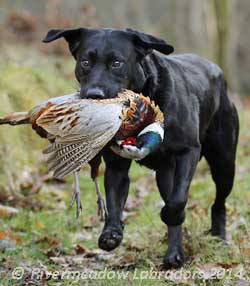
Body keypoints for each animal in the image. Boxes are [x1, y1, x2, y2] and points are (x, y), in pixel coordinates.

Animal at [43, 27, 240, 268]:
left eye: (117, 63)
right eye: (85, 62)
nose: (93, 95)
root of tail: (218, 72)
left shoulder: (188, 151)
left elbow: (178, 201)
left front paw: (170, 214)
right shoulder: (117, 165)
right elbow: (114, 200)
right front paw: (112, 232)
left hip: (224, 163)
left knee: (218, 203)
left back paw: (218, 237)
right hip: (165, 175)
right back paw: (174, 254)